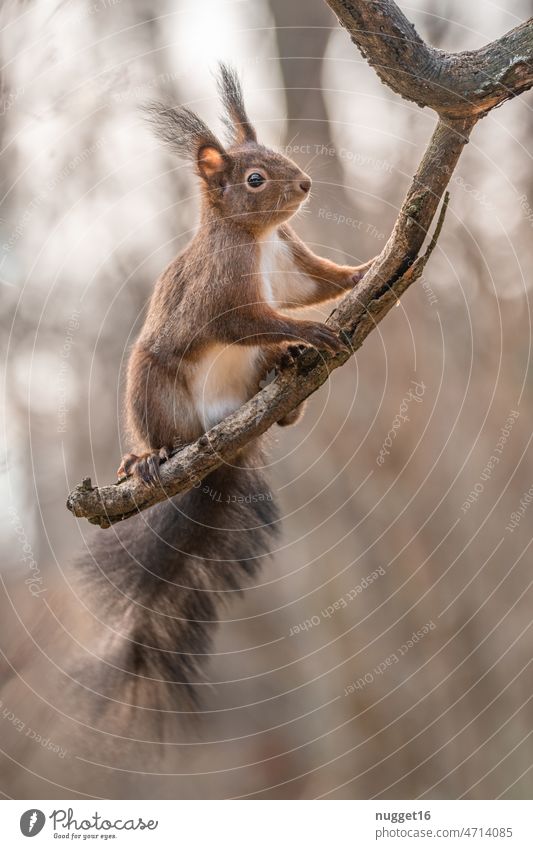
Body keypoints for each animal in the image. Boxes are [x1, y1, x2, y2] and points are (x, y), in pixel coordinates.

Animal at [81, 68, 372, 716]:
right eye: (254, 179)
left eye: (278, 157)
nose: (306, 183)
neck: (255, 237)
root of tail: (226, 437)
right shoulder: (221, 296)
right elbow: (251, 321)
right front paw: (311, 330)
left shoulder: (291, 260)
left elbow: (320, 284)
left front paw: (366, 271)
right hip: (154, 390)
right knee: (163, 432)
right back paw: (149, 458)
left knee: (275, 393)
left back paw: (283, 382)